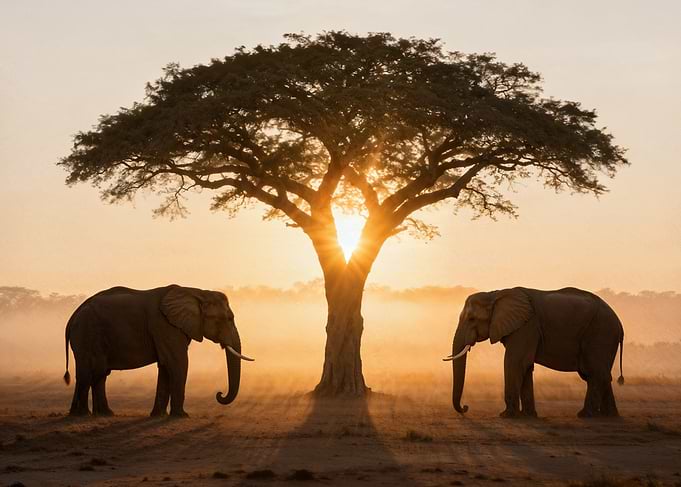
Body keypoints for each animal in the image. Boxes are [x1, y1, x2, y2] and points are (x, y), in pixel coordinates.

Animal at [63, 285, 254, 417]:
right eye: (225, 319)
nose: (219, 394)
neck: (196, 291)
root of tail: (73, 316)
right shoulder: (165, 326)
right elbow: (177, 363)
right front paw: (182, 416)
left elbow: (165, 367)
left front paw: (158, 415)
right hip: (87, 333)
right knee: (89, 372)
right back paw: (85, 415)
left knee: (99, 373)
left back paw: (101, 414)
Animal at [444, 287, 624, 418]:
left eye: (472, 319)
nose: (465, 408)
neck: (495, 294)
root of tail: (620, 325)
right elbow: (526, 366)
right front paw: (528, 416)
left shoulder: (526, 327)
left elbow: (515, 363)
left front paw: (506, 416)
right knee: (601, 374)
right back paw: (609, 416)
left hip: (600, 334)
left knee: (594, 373)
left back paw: (585, 415)